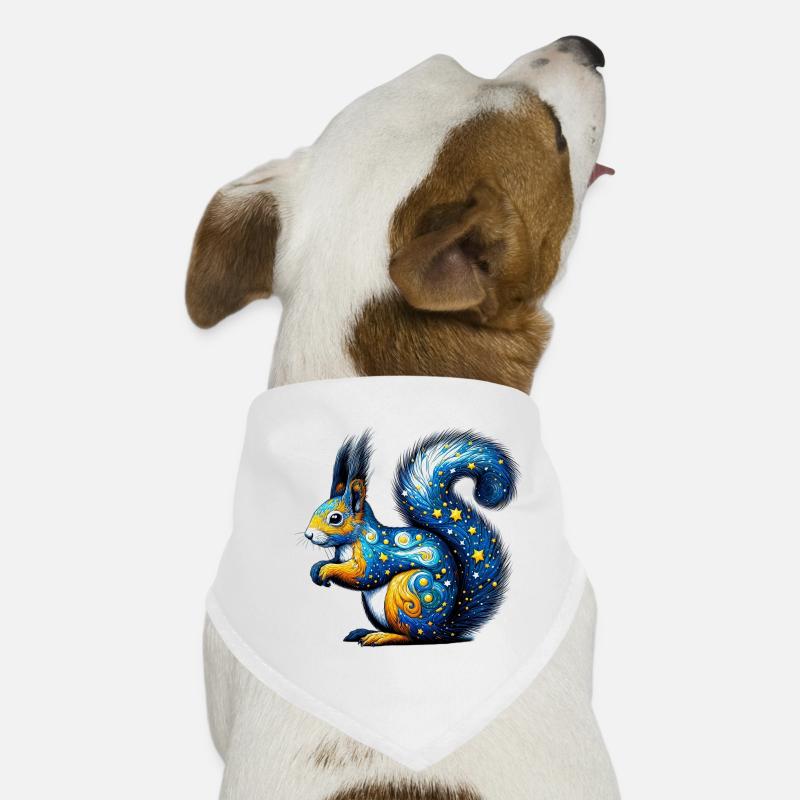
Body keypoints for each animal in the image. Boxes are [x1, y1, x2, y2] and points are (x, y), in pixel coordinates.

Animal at [304, 429, 518, 646]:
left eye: (335, 518)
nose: (308, 534)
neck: (350, 543)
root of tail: (442, 630)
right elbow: (338, 564)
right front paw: (317, 567)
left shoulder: (375, 556)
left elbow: (362, 576)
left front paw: (327, 570)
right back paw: (365, 631)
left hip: (407, 591)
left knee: (410, 636)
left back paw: (381, 637)